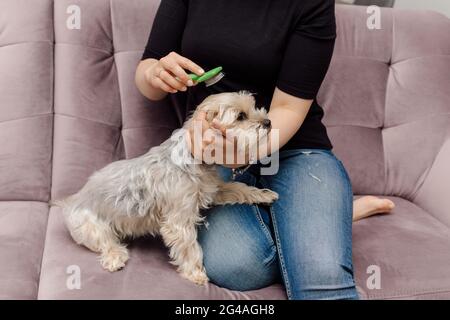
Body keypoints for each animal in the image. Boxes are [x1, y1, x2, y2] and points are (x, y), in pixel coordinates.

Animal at [52, 92, 278, 284]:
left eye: (253, 107)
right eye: (241, 116)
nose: (268, 122)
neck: (193, 158)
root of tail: (71, 200)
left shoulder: (212, 190)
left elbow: (238, 187)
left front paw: (263, 194)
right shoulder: (179, 221)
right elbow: (189, 247)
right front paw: (195, 273)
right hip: (91, 226)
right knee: (106, 242)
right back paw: (115, 257)